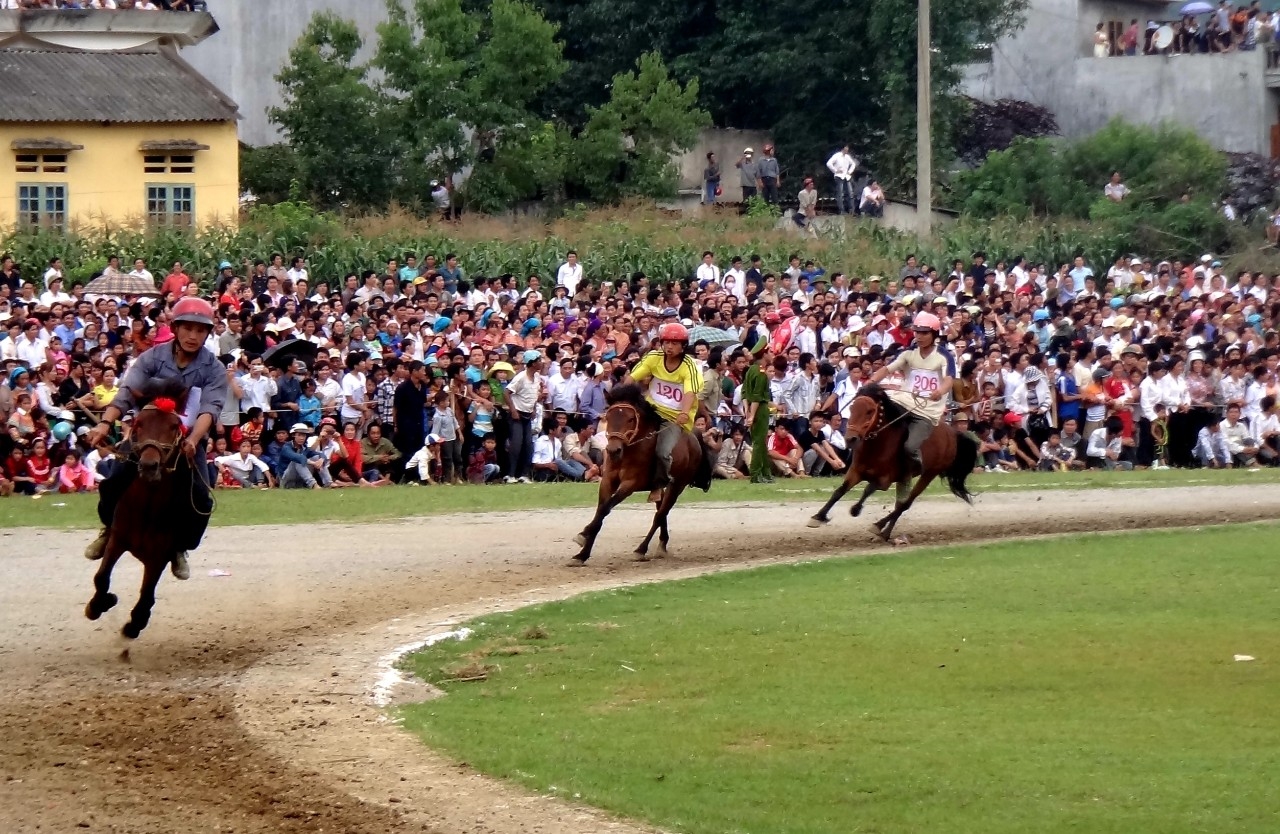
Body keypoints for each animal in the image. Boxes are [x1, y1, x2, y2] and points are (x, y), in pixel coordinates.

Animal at [83, 383, 200, 639]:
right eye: (139, 423)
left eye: (174, 426)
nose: (149, 465)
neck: (146, 507)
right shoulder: (117, 540)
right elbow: (101, 578)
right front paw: (100, 603)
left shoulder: (158, 556)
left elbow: (146, 596)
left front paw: (135, 623)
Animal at [570, 383, 711, 567]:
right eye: (608, 416)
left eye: (631, 419)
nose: (613, 450)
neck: (628, 451)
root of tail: (694, 437)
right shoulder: (607, 481)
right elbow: (601, 510)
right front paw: (582, 553)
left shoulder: (630, 484)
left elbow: (606, 508)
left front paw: (584, 534)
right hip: (661, 487)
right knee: (661, 511)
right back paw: (662, 544)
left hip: (677, 485)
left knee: (660, 515)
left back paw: (641, 549)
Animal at [808, 383, 977, 539]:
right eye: (852, 408)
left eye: (870, 411)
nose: (850, 439)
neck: (877, 445)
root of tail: (953, 433)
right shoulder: (855, 471)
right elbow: (840, 491)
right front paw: (818, 516)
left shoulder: (885, 480)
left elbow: (868, 488)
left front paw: (856, 509)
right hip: (906, 477)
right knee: (900, 504)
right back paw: (885, 532)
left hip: (930, 473)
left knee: (905, 504)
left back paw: (879, 526)